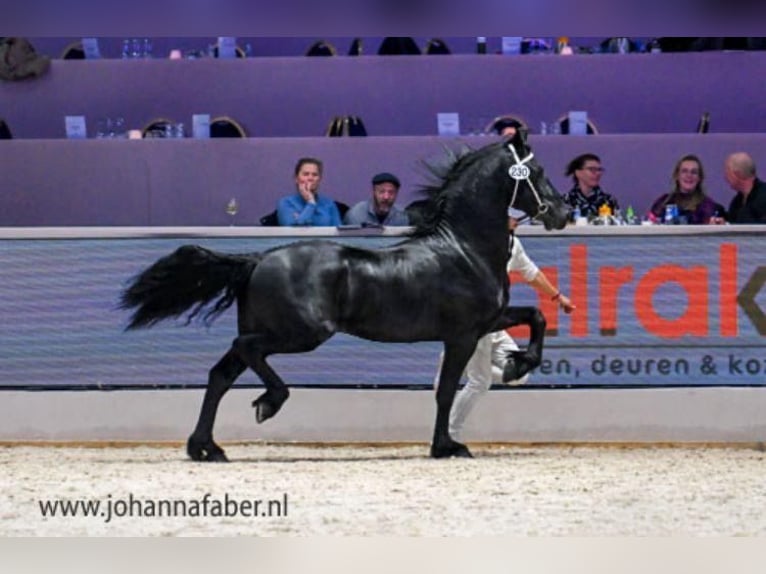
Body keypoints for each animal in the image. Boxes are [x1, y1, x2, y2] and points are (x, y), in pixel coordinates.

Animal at [120, 133, 568, 462]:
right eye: (537, 171)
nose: (561, 214)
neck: (463, 248)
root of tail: (259, 259)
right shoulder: (461, 335)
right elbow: (445, 391)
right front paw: (447, 447)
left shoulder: (487, 322)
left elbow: (536, 316)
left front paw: (517, 364)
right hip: (301, 333)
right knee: (245, 350)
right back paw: (267, 404)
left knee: (221, 375)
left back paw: (206, 448)